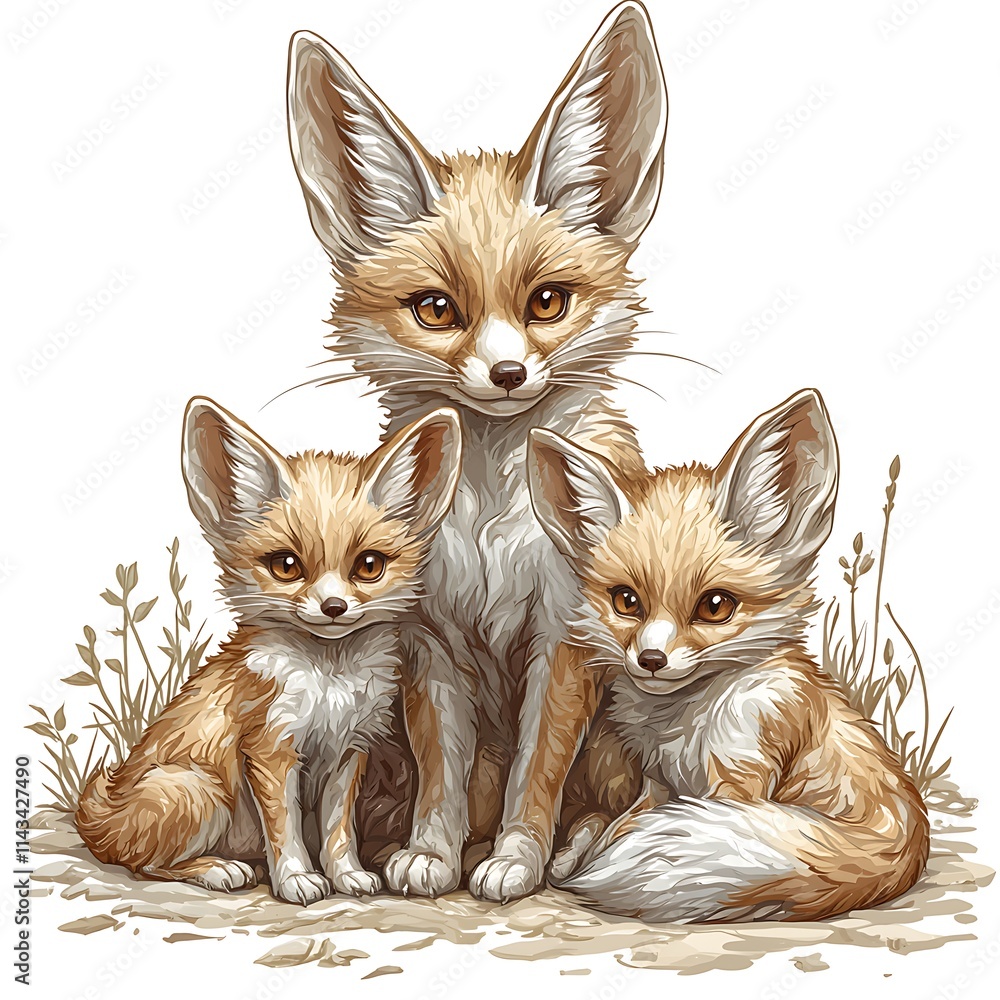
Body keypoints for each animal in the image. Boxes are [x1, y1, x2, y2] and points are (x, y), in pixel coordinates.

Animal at [75, 398, 461, 905]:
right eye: (286, 565)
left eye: (369, 566)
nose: (333, 607)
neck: (328, 682)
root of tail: (99, 814)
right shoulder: (271, 748)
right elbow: (286, 830)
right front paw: (297, 879)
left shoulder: (348, 751)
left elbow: (339, 832)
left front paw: (347, 875)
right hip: (199, 792)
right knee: (144, 864)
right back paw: (217, 868)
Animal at [285, 3, 667, 900]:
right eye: (435, 309)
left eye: (548, 302)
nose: (506, 374)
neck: (494, 516)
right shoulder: (427, 640)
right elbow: (442, 770)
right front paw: (433, 849)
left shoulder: (566, 636)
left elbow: (538, 769)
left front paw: (517, 858)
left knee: (617, 794)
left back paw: (578, 844)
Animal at [526, 388, 930, 922]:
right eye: (626, 601)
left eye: (715, 605)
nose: (650, 660)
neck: (685, 724)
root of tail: (908, 844)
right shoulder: (659, 783)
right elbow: (622, 827)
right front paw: (583, 857)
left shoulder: (741, 781)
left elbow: (633, 834)